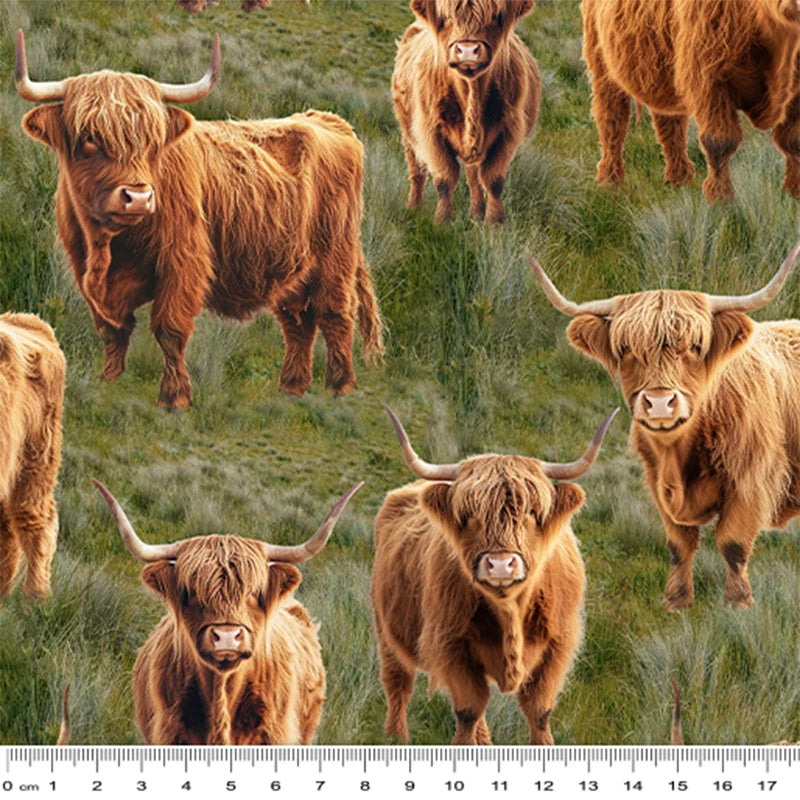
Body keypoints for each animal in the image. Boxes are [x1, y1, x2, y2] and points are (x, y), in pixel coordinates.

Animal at [16, 31, 384, 410]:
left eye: (152, 140)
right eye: (89, 138)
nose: (138, 197)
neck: (110, 247)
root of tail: (327, 119)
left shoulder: (183, 261)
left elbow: (169, 330)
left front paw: (174, 397)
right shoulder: (84, 268)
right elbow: (112, 330)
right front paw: (109, 381)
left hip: (335, 257)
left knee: (335, 314)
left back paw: (341, 385)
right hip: (294, 266)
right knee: (298, 322)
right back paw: (292, 386)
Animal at [371, 405, 617, 744]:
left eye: (531, 512)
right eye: (469, 514)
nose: (500, 565)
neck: (510, 608)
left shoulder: (558, 645)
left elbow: (539, 711)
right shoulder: (451, 645)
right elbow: (468, 711)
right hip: (386, 630)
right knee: (398, 682)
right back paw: (395, 736)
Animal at [392, 0, 541, 225]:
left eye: (494, 17)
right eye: (447, 18)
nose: (468, 50)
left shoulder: (508, 132)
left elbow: (493, 179)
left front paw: (495, 221)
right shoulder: (430, 132)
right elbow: (445, 177)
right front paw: (443, 220)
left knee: (473, 176)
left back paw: (476, 213)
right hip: (408, 133)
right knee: (416, 170)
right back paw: (414, 207)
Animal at [530, 239, 800, 610]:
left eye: (695, 347)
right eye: (626, 348)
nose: (659, 403)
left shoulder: (751, 482)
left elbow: (732, 544)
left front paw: (738, 602)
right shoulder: (657, 482)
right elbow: (678, 545)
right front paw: (676, 600)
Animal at [582, 0, 800, 202]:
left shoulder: (795, 92)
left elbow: (792, 140)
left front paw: (793, 192)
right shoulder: (711, 81)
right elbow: (719, 142)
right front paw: (720, 197)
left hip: (663, 69)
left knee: (669, 125)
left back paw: (679, 178)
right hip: (603, 64)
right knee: (612, 120)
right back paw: (610, 179)